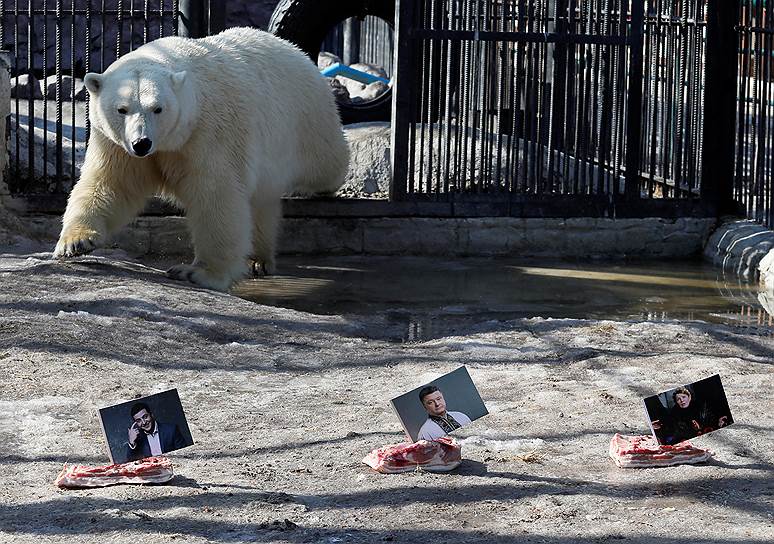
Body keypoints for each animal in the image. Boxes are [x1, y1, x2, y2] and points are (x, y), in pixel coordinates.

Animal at [56, 27, 354, 292]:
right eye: (122, 109)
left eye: (158, 108)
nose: (142, 143)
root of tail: (295, 50)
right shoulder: (115, 144)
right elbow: (111, 185)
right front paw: (75, 243)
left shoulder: (209, 132)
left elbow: (216, 196)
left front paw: (197, 273)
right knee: (261, 202)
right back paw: (257, 260)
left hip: (307, 122)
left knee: (327, 163)